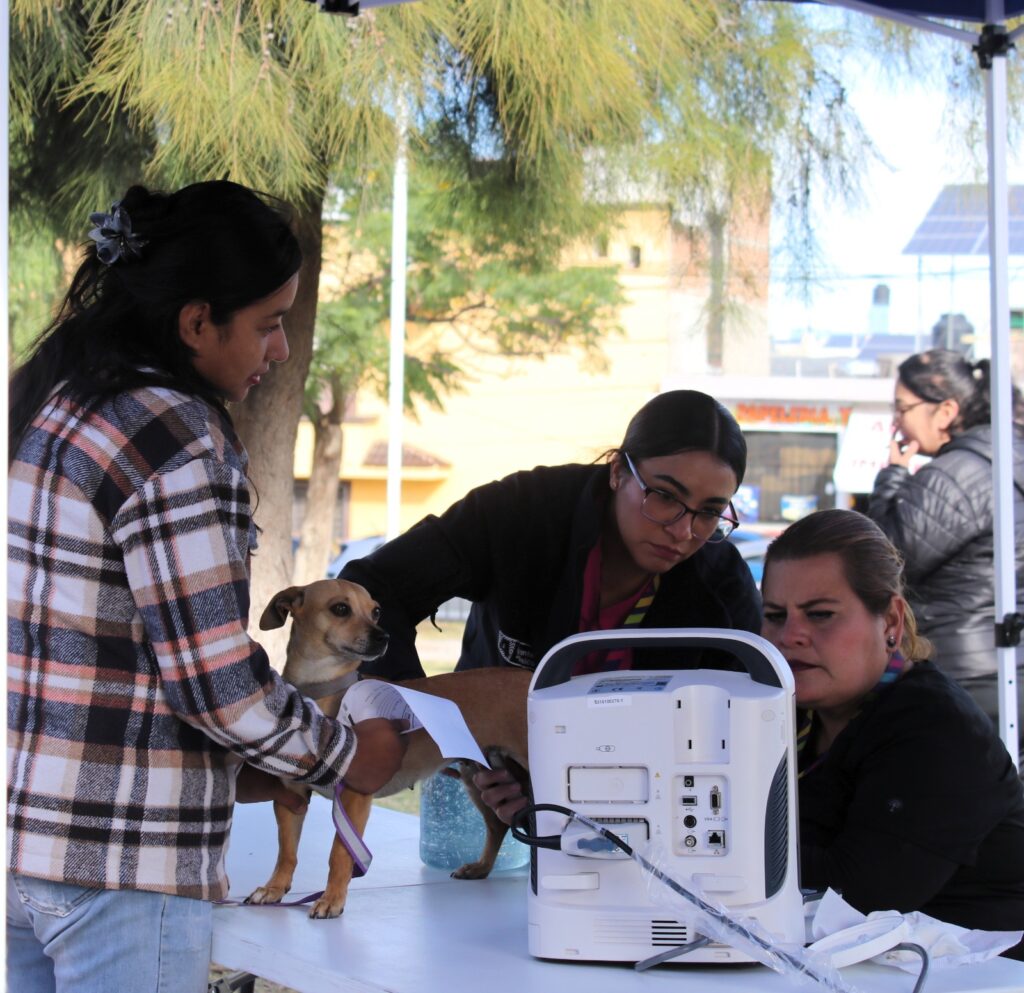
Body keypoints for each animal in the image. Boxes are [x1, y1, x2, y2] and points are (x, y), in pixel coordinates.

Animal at [244, 578, 530, 919]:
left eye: (376, 611)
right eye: (340, 608)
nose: (383, 637)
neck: (324, 692)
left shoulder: (354, 797)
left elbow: (339, 854)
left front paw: (332, 899)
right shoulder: (292, 797)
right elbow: (286, 852)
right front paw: (274, 888)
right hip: (479, 777)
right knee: (498, 825)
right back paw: (481, 868)